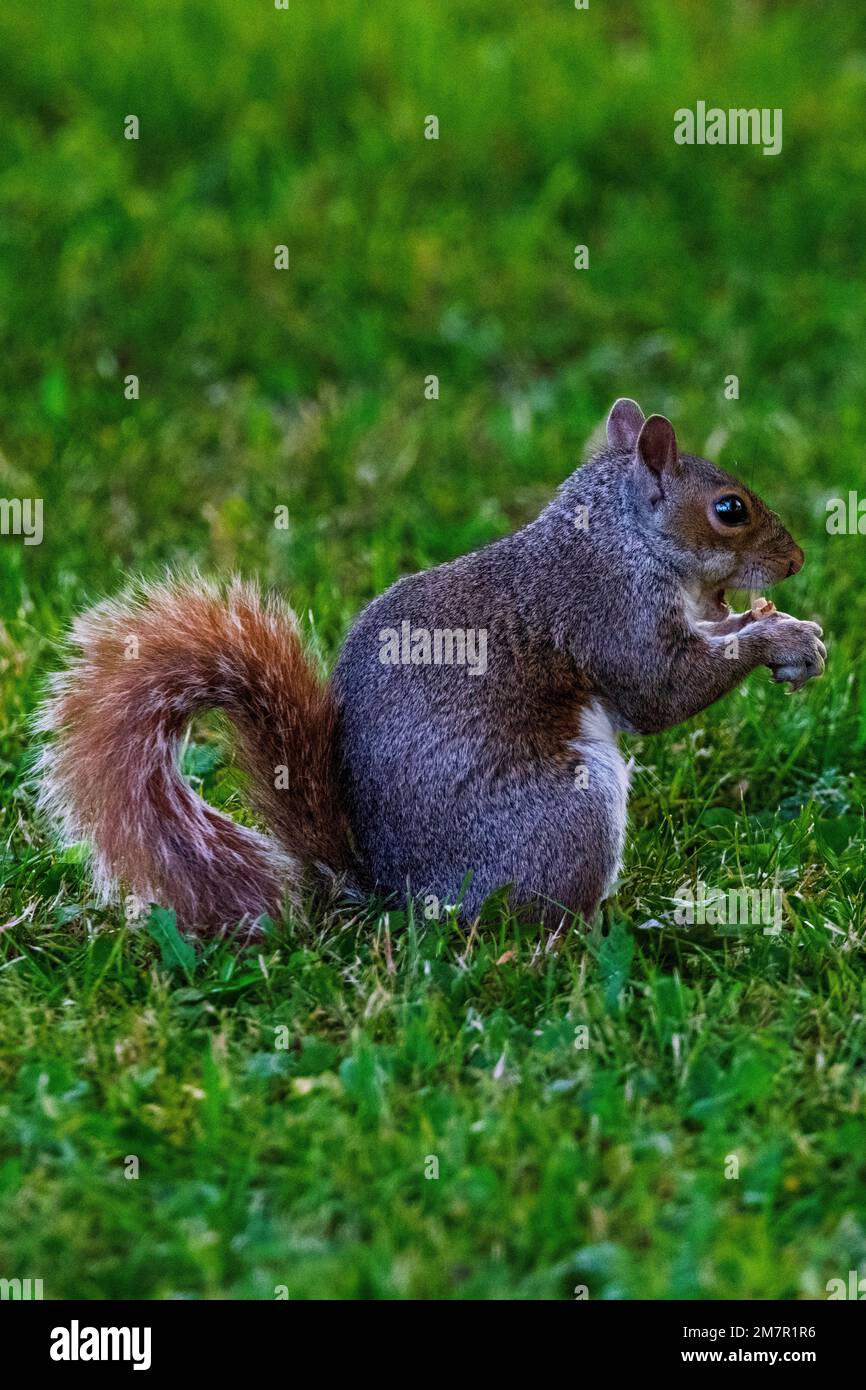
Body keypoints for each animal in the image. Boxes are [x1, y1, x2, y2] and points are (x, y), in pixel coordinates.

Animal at [37, 399, 826, 932]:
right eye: (730, 509)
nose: (796, 561)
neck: (620, 537)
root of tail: (399, 893)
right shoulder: (610, 613)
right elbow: (661, 693)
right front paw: (774, 638)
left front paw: (792, 630)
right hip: (567, 815)